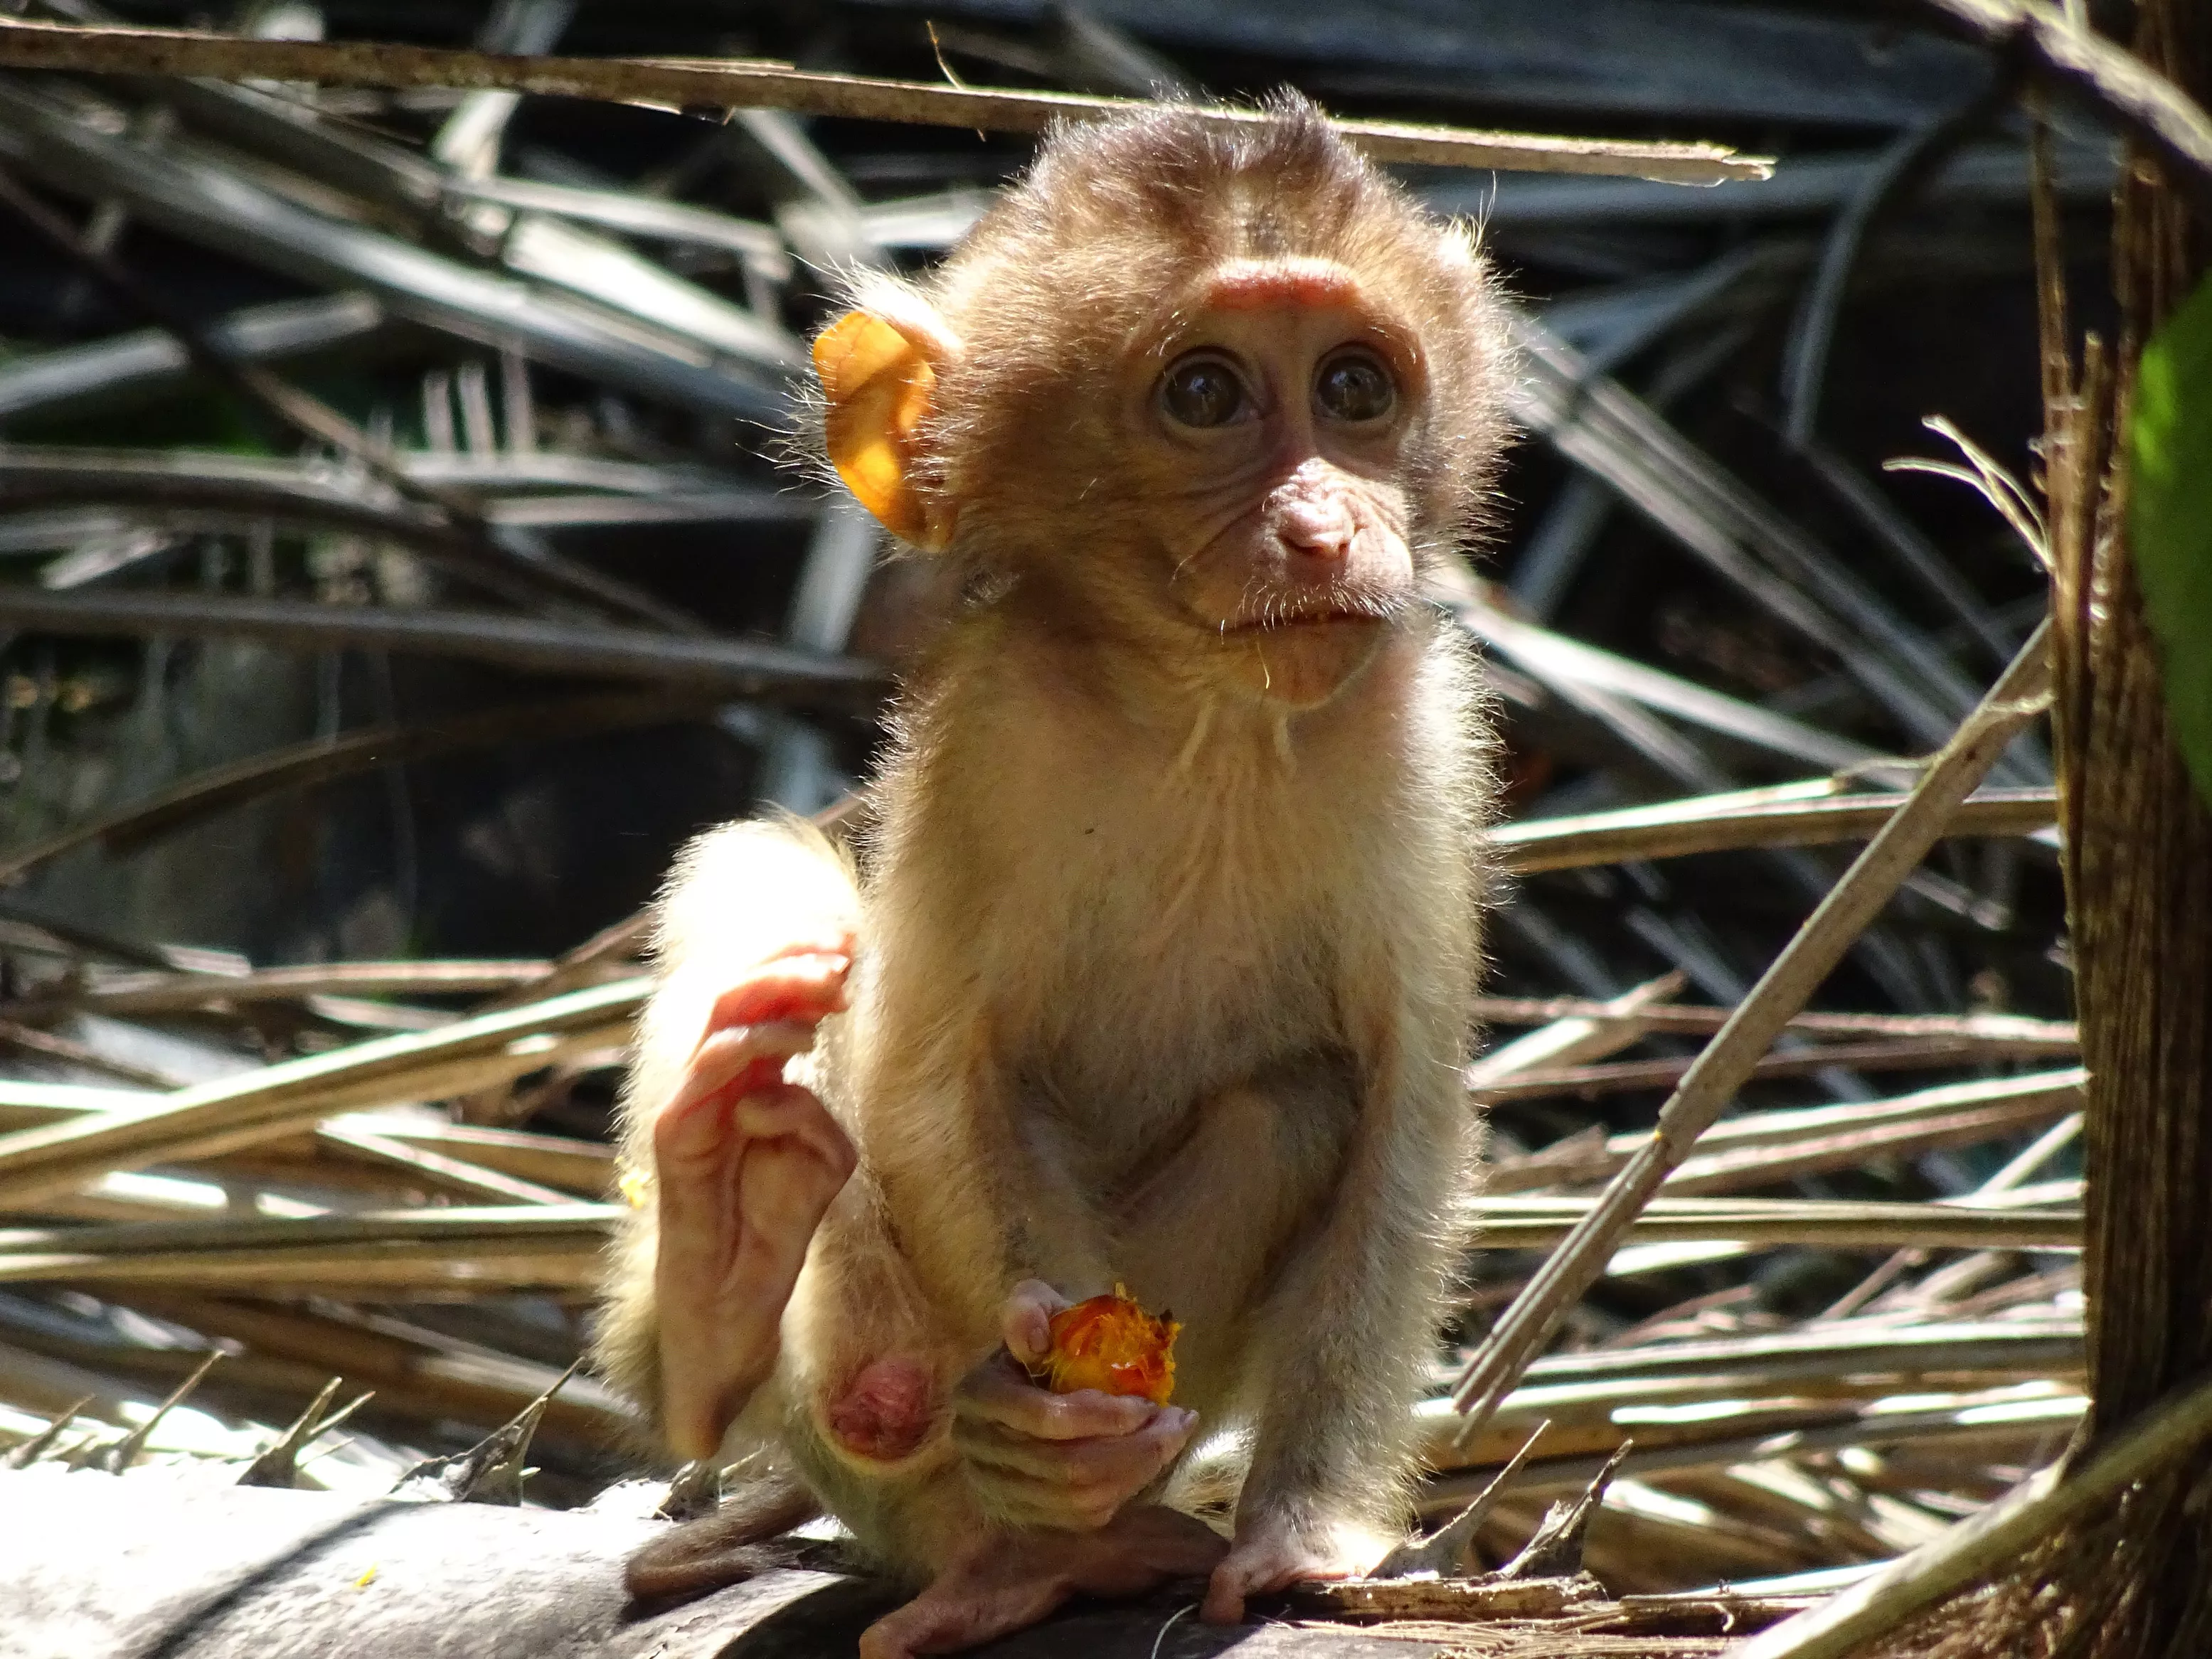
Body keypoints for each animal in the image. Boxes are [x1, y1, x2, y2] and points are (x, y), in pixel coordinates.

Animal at [595, 94, 1511, 1659]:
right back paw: (746, 1281)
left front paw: (1300, 1529)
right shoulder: (997, 725)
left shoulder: (1417, 727)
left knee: (1294, 1100)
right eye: (1205, 395)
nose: (1327, 525)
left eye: (1352, 387)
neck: (1208, 712)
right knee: (779, 915)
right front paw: (1051, 1410)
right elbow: (935, 1073)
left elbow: (1403, 1113)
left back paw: (1058, 1539)